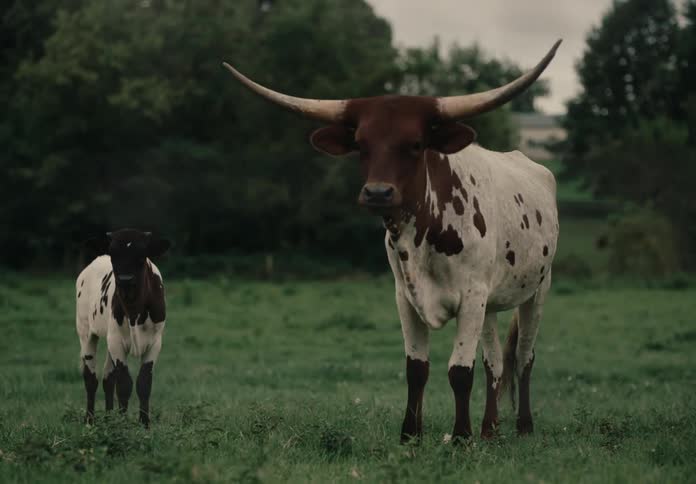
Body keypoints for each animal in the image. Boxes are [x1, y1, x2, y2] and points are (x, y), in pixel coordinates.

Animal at [76, 229, 170, 427]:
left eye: (142, 255)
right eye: (114, 254)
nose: (126, 280)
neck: (135, 311)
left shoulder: (155, 343)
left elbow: (144, 383)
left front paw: (144, 423)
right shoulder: (116, 341)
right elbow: (124, 384)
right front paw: (123, 423)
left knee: (107, 378)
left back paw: (108, 418)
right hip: (85, 331)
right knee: (91, 377)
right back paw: (90, 420)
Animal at [223, 40, 561, 443]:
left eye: (415, 144)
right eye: (361, 144)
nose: (378, 192)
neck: (423, 238)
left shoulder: (471, 296)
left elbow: (459, 372)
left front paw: (460, 438)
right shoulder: (406, 296)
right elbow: (417, 368)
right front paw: (410, 436)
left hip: (537, 291)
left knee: (524, 357)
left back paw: (523, 426)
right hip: (492, 304)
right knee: (494, 361)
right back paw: (490, 430)